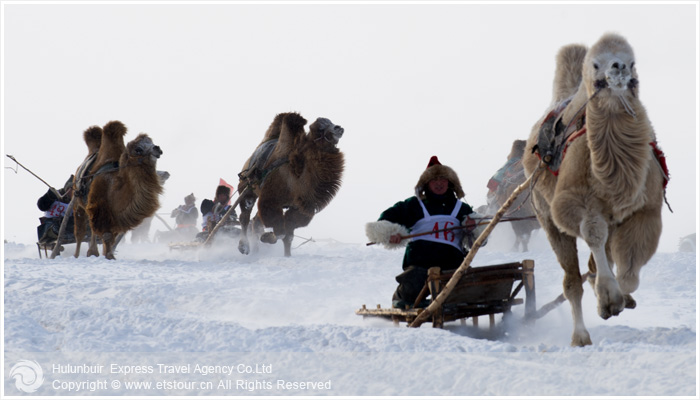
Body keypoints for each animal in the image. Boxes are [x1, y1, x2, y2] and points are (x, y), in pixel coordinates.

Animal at [73, 120, 164, 260]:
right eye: (138, 149)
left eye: (151, 142)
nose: (157, 148)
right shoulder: (101, 208)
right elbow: (106, 235)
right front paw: (109, 256)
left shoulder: (115, 216)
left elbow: (112, 238)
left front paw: (108, 254)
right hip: (78, 202)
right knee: (80, 232)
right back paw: (78, 255)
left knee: (92, 230)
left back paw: (93, 252)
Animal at [237, 111, 344, 258]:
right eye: (320, 128)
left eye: (331, 122)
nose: (339, 128)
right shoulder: (271, 199)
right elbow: (281, 233)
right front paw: (268, 237)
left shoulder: (299, 209)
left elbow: (288, 235)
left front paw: (287, 255)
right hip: (247, 187)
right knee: (245, 216)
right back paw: (244, 247)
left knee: (255, 222)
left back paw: (256, 250)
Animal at [524, 32, 668, 346]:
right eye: (595, 63)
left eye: (632, 61)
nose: (619, 67)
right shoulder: (575, 202)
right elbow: (593, 233)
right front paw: (609, 298)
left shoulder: (646, 209)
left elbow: (630, 273)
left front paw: (615, 298)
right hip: (544, 214)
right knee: (571, 279)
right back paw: (580, 336)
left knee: (599, 260)